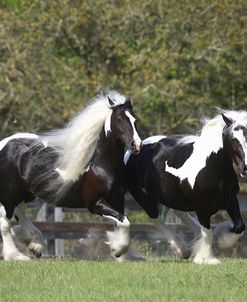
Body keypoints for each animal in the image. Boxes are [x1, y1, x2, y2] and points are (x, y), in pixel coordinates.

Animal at [125, 111, 247, 264]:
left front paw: (220, 241)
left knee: (180, 214)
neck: (211, 167)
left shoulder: (230, 200)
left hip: (173, 197)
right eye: (234, 140)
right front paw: (206, 258)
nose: (245, 168)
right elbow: (208, 233)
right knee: (155, 219)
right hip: (144, 197)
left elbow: (239, 227)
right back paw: (181, 249)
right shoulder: (202, 209)